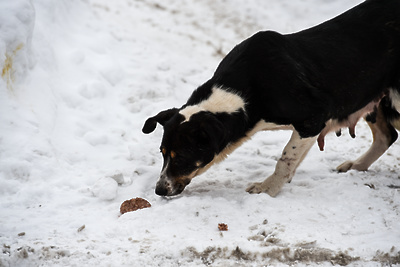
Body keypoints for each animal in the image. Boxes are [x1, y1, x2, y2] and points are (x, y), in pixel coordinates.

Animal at [143, 0, 400, 197]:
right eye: (162, 153)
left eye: (181, 156)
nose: (159, 190)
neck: (246, 94)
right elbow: (294, 159)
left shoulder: (313, 117)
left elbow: (286, 158)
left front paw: (268, 189)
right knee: (387, 136)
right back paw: (357, 166)